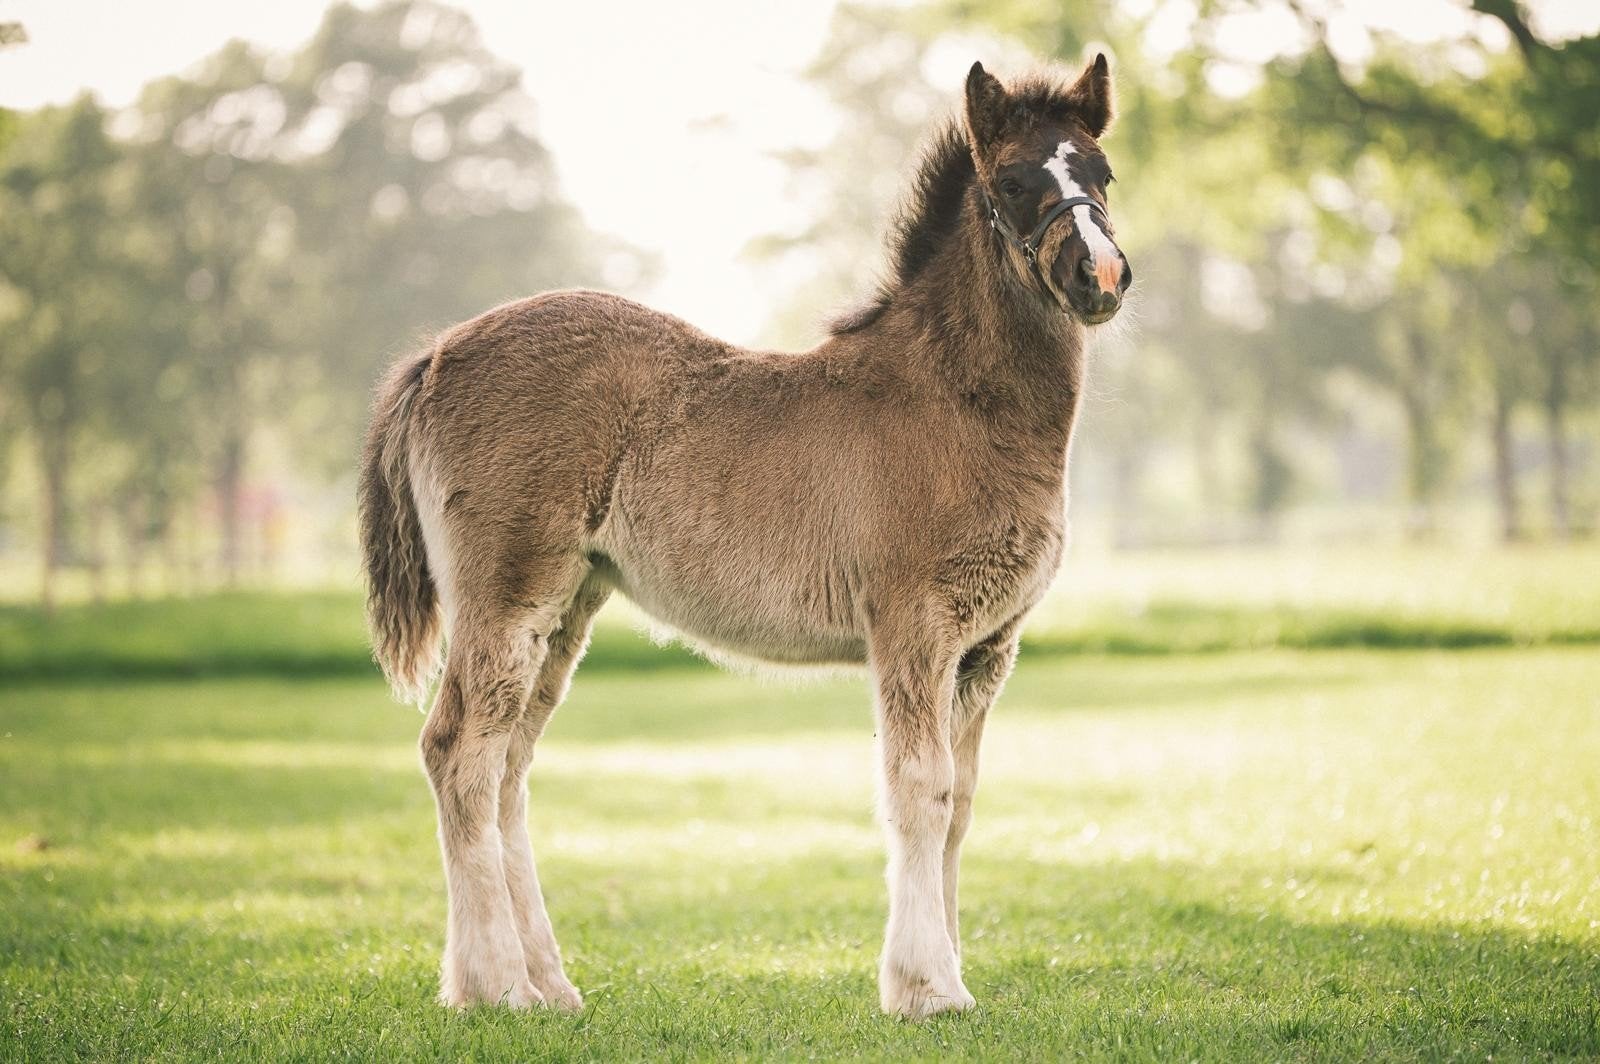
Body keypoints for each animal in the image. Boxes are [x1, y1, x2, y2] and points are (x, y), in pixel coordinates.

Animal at [358, 56, 1132, 1019]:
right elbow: (919, 790)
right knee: (459, 752)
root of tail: (436, 356)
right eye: (1017, 183)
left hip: (567, 606)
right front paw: (926, 988)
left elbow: (961, 805)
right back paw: (499, 987)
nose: (1100, 274)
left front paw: (945, 973)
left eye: (1103, 174)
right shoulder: (912, 630)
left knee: (507, 768)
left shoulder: (986, 649)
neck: (955, 403)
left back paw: (543, 983)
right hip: (506, 595)